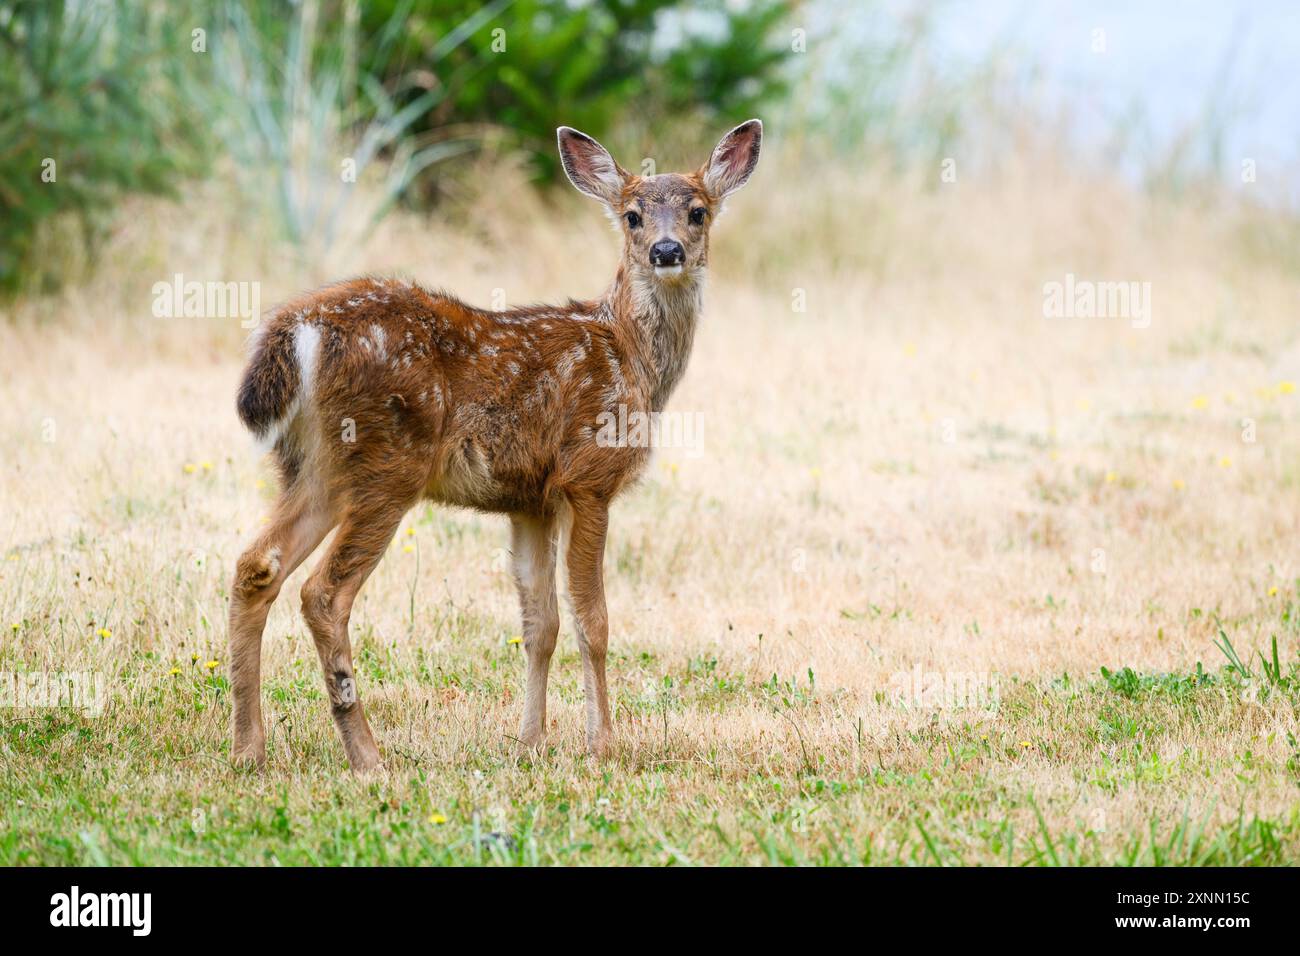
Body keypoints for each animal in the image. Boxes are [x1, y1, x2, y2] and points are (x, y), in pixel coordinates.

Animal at [227, 120, 762, 771]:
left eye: (697, 212)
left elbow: (540, 624)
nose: (667, 251)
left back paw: (249, 748)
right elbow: (592, 620)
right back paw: (368, 757)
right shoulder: (587, 476)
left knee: (257, 565)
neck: (629, 354)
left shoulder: (531, 501)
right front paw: (602, 744)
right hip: (388, 463)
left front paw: (530, 741)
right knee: (323, 592)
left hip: (313, 467)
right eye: (633, 216)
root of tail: (295, 332)